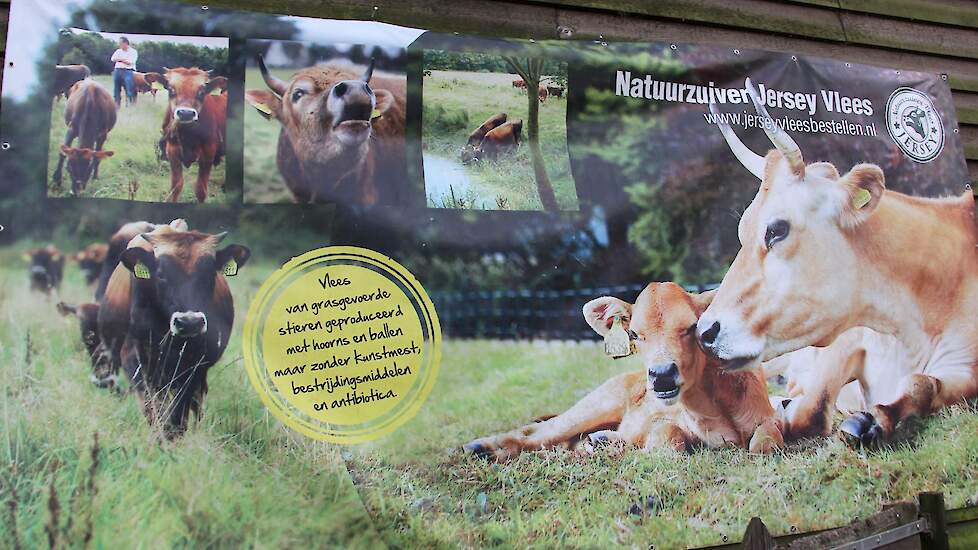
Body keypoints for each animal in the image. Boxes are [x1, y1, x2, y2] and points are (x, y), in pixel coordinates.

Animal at [144, 68, 228, 204]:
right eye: (171, 89)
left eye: (202, 91)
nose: (185, 113)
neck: (187, 136)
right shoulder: (172, 154)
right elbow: (176, 187)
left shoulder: (207, 156)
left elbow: (201, 190)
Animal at [462, 282, 780, 464]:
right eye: (635, 333)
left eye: (692, 326)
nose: (662, 375)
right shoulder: (663, 421)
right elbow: (669, 440)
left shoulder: (767, 418)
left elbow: (765, 444)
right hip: (595, 404)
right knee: (539, 432)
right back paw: (483, 446)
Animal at [692, 77, 976, 448]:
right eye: (743, 229)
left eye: (777, 229)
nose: (704, 332)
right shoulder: (844, 342)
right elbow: (810, 409)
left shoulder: (966, 370)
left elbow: (922, 383)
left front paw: (871, 421)